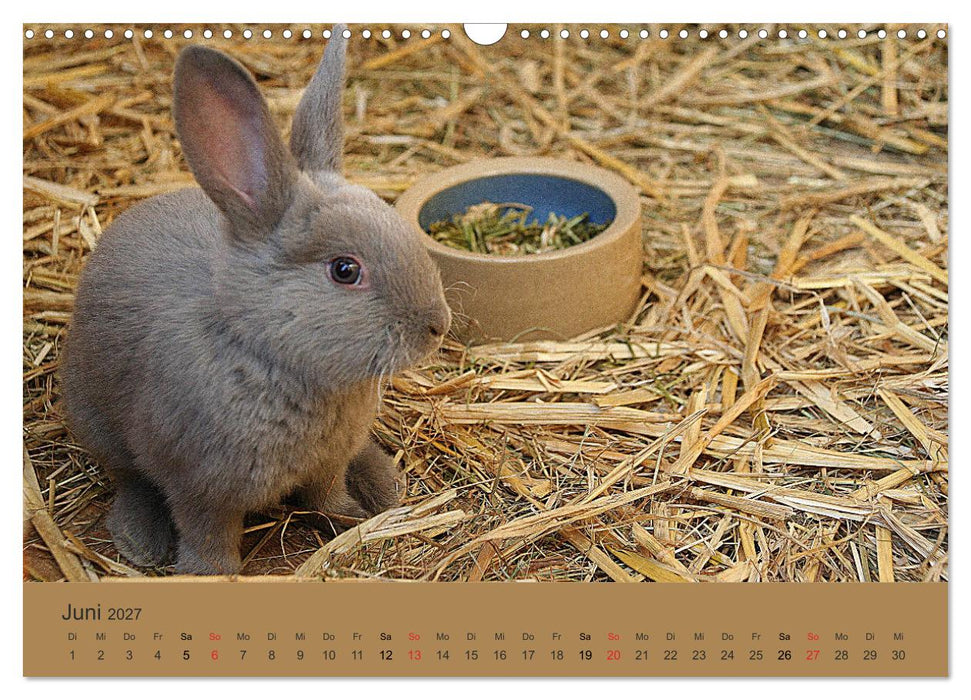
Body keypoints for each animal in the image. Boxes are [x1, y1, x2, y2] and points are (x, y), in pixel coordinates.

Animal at [60, 25, 451, 575]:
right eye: (345, 270)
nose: (438, 325)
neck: (270, 355)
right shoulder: (200, 490)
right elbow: (208, 536)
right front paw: (209, 576)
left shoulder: (325, 466)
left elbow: (326, 496)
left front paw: (352, 521)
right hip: (95, 422)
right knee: (131, 479)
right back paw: (139, 541)